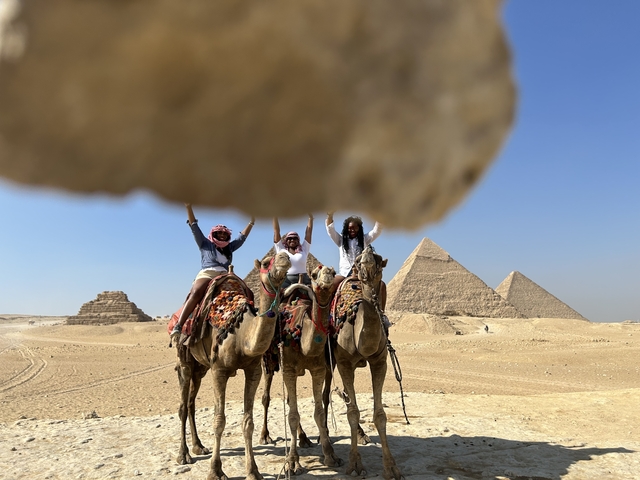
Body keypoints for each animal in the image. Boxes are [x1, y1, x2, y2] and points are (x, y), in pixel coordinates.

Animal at [173, 251, 291, 480]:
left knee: (191, 403)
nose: (285, 256)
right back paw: (184, 455)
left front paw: (253, 471)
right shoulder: (219, 370)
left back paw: (199, 446)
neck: (241, 333)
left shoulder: (253, 370)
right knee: (183, 406)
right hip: (185, 361)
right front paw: (215, 471)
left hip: (201, 368)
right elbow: (219, 421)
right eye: (266, 262)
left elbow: (248, 422)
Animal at [258, 265, 342, 474]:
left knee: (290, 401)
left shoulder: (319, 369)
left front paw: (331, 456)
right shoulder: (288, 369)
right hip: (269, 363)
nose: (327, 274)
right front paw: (292, 462)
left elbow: (318, 413)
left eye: (333, 270)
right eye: (314, 274)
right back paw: (265, 435)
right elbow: (292, 416)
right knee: (266, 397)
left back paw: (304, 438)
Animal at [328, 245, 403, 480]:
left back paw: (361, 435)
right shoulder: (343, 361)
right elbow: (353, 412)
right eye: (358, 260)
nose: (368, 251)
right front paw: (354, 465)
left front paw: (391, 468)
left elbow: (379, 415)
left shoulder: (380, 361)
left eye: (379, 260)